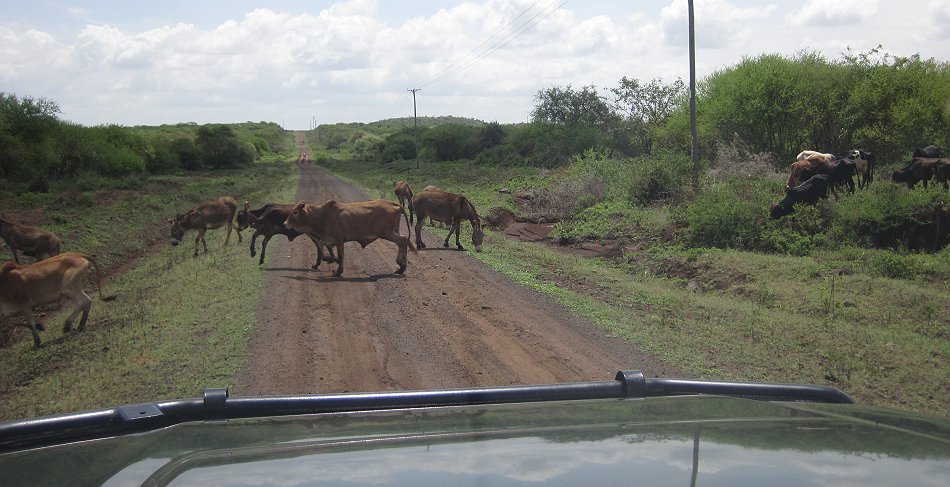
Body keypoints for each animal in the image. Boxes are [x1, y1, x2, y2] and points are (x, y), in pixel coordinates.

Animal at [282, 199, 416, 276]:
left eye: (295, 212)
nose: (284, 223)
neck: (322, 216)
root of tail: (392, 204)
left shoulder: (338, 240)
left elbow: (340, 256)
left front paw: (338, 272)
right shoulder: (328, 240)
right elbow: (324, 250)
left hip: (386, 233)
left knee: (403, 240)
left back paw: (401, 266)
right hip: (393, 231)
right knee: (402, 242)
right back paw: (401, 266)